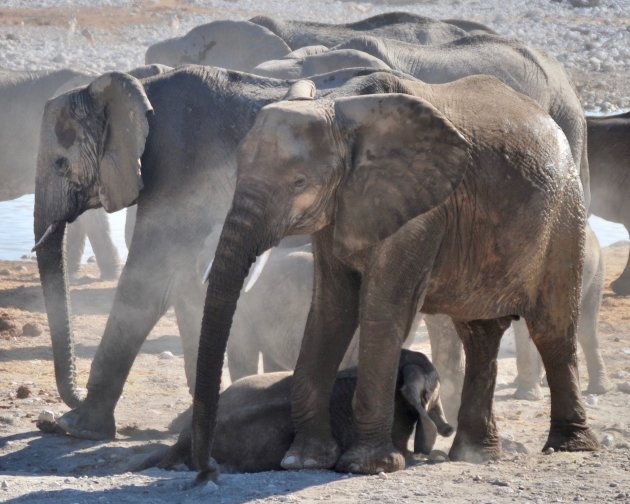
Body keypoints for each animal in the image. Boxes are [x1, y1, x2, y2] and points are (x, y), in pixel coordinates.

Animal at [194, 72, 604, 480]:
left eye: (299, 183)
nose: (207, 470)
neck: (339, 105)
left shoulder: (421, 209)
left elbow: (383, 307)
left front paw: (366, 466)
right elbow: (330, 307)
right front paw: (305, 461)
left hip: (564, 218)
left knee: (551, 331)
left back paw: (569, 446)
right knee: (480, 336)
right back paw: (475, 455)